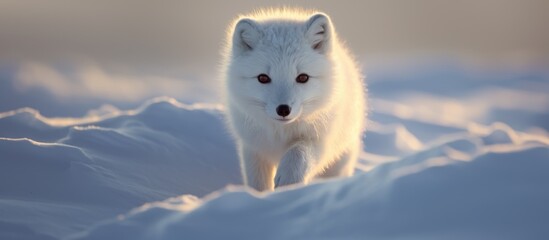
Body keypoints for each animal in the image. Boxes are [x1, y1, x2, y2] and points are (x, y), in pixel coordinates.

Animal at [220, 8, 366, 190]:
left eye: (303, 77)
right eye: (263, 78)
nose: (283, 109)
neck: (281, 133)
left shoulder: (320, 140)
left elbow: (298, 153)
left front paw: (288, 182)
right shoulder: (253, 148)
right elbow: (258, 183)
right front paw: (257, 196)